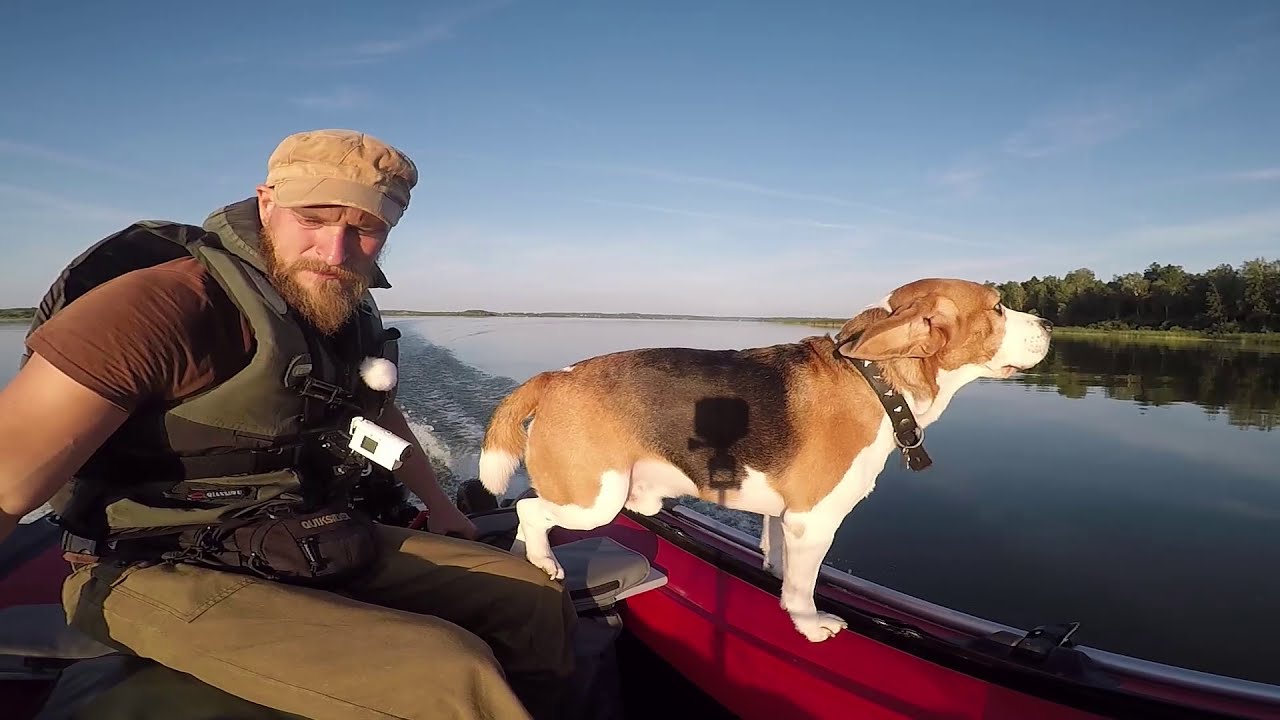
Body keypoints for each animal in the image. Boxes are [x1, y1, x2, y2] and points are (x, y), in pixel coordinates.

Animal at [481, 274, 1049, 638]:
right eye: (997, 308)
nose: (1046, 324)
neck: (874, 379)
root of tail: (555, 377)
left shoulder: (785, 518)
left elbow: (779, 556)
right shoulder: (815, 520)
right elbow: (803, 587)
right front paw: (810, 624)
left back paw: (525, 560)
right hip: (594, 500)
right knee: (528, 508)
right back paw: (543, 559)